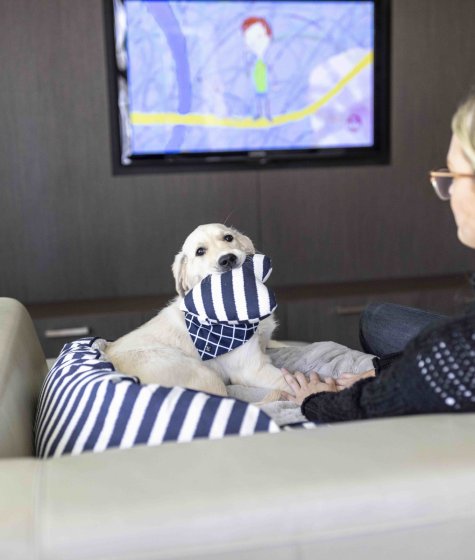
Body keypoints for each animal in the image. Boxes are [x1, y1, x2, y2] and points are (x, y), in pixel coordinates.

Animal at [105, 223, 290, 398]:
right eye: (200, 251)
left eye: (228, 238)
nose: (227, 259)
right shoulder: (252, 369)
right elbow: (289, 381)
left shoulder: (265, 344)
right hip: (208, 377)